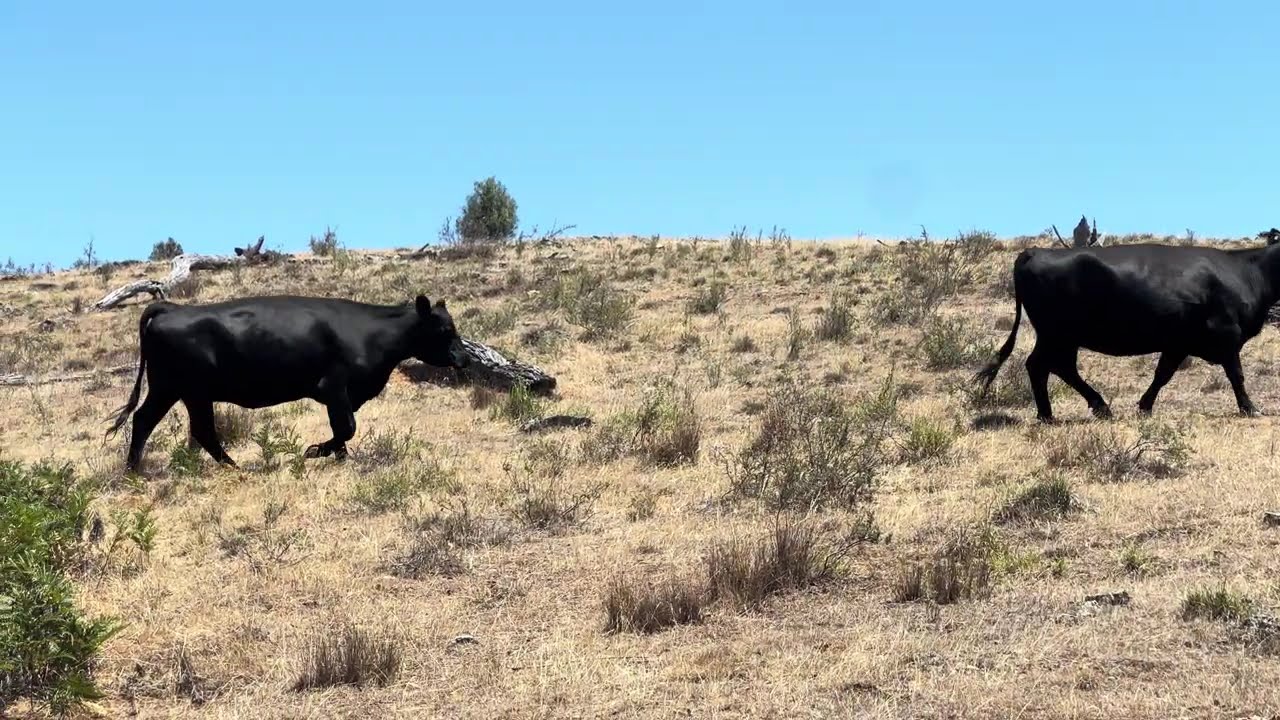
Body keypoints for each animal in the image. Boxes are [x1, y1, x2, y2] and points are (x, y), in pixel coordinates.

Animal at [105, 294, 468, 472]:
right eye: (444, 330)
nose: (464, 357)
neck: (372, 332)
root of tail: (172, 308)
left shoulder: (341, 395)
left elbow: (342, 428)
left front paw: (339, 457)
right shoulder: (334, 387)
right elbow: (347, 427)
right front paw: (315, 451)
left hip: (181, 391)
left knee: (170, 424)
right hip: (181, 388)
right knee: (168, 424)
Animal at [973, 239, 1280, 422]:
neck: (1246, 272)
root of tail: (1034, 251)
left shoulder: (1177, 343)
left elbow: (1162, 374)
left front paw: (1145, 406)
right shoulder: (1228, 336)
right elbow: (1237, 375)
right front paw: (1250, 408)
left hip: (1061, 337)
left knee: (1057, 367)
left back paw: (1088, 408)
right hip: (1056, 334)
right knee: (1042, 366)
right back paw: (1054, 414)